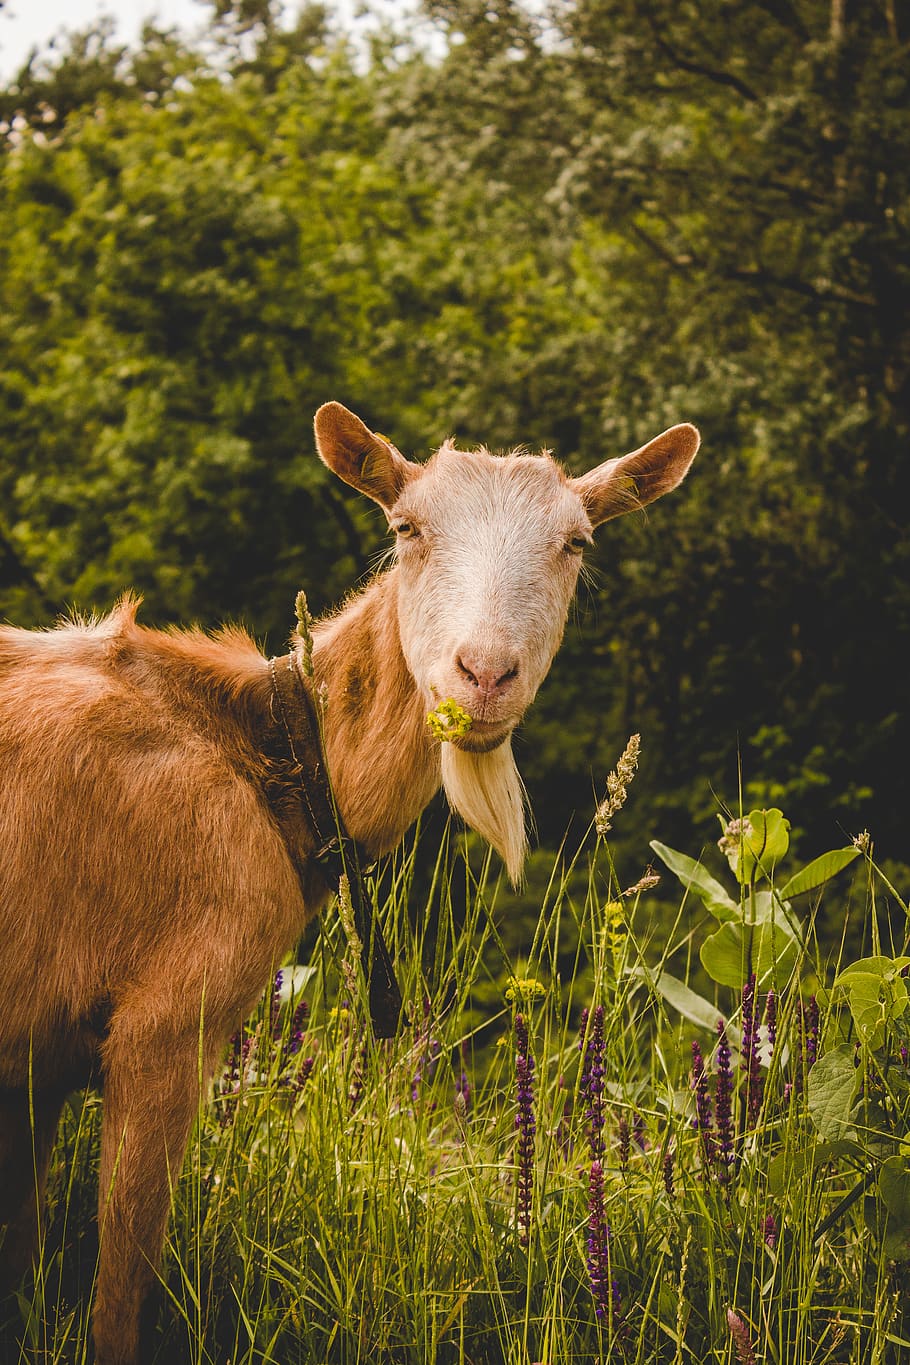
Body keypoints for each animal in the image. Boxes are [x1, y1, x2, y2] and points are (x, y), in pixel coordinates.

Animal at [0, 398, 703, 1359]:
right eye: (406, 527)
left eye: (577, 541)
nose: (484, 674)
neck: (271, 758)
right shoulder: (164, 1026)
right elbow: (116, 1296)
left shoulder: (35, 1075)